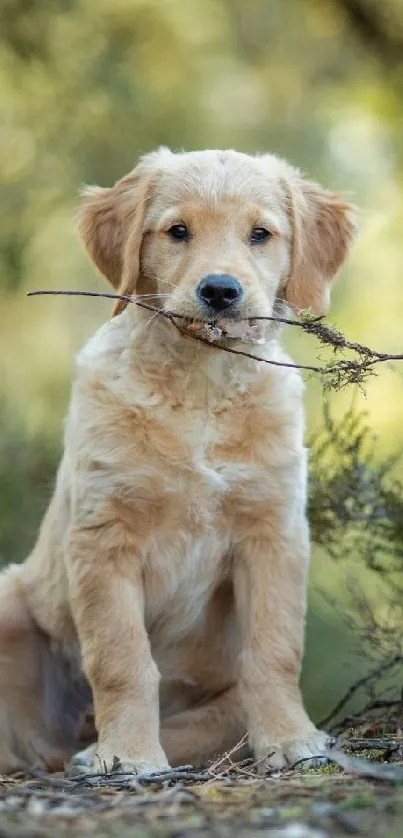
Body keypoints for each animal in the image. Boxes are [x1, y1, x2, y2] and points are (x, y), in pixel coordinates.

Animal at [0, 148, 356, 776]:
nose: (220, 291)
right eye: (177, 232)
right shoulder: (104, 537)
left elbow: (274, 650)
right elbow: (121, 659)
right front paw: (129, 755)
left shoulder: (274, 532)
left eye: (260, 234)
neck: (201, 387)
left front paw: (291, 740)